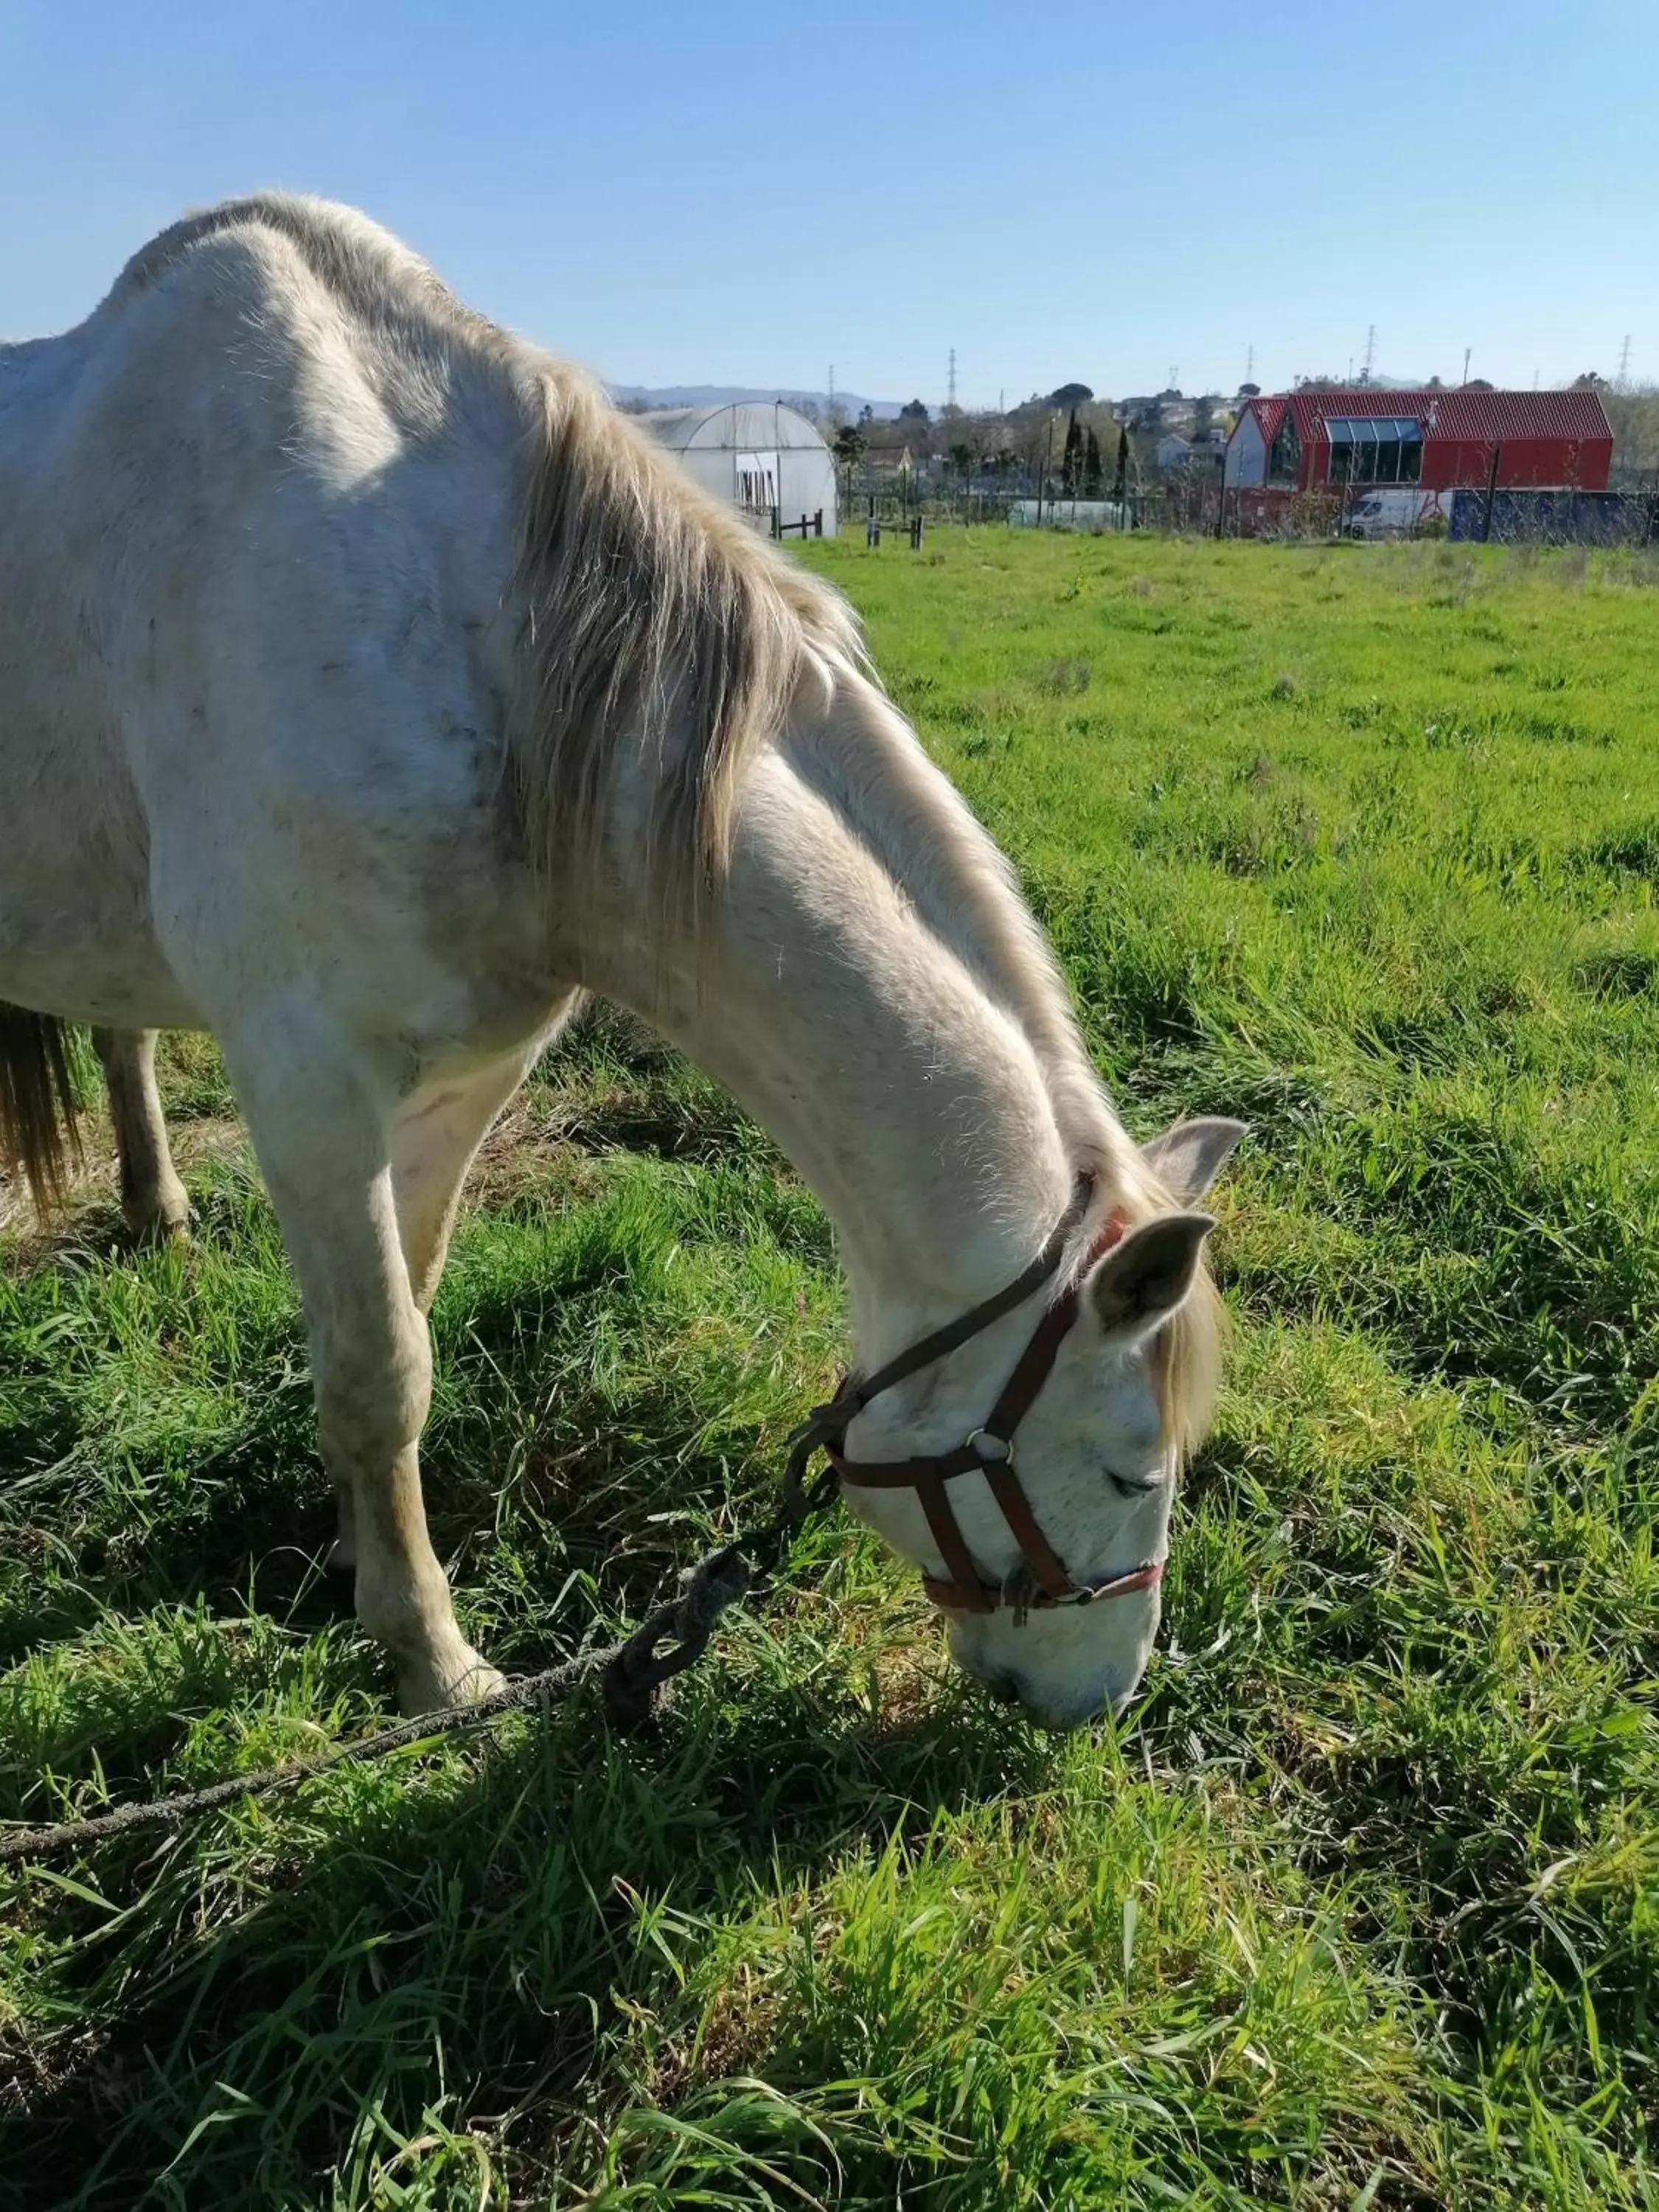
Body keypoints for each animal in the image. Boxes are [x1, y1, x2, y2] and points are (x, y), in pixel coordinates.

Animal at [3, 199, 1248, 1725]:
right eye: (1134, 1467)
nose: (1097, 1703)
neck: (473, 655)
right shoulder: (305, 1081)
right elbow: (376, 1371)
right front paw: (433, 1661)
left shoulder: (463, 1073)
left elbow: (410, 1320)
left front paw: (361, 1560)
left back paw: (157, 1205)